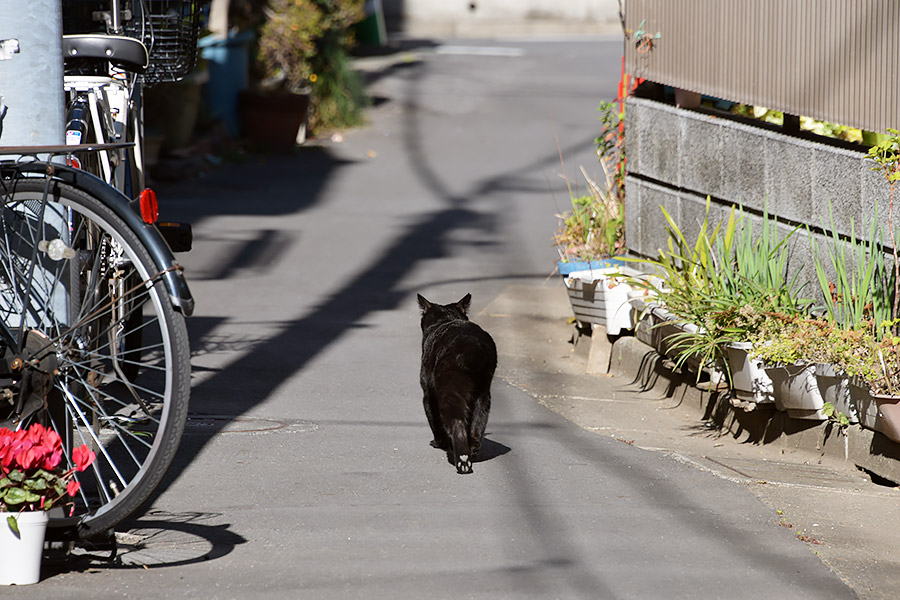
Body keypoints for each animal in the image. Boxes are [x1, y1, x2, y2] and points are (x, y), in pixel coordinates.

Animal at [416, 292, 496, 476]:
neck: (447, 319)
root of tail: (472, 346)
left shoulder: (428, 395)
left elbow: (434, 421)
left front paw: (439, 443)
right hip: (483, 395)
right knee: (477, 426)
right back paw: (471, 453)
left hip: (449, 392)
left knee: (456, 422)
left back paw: (462, 460)